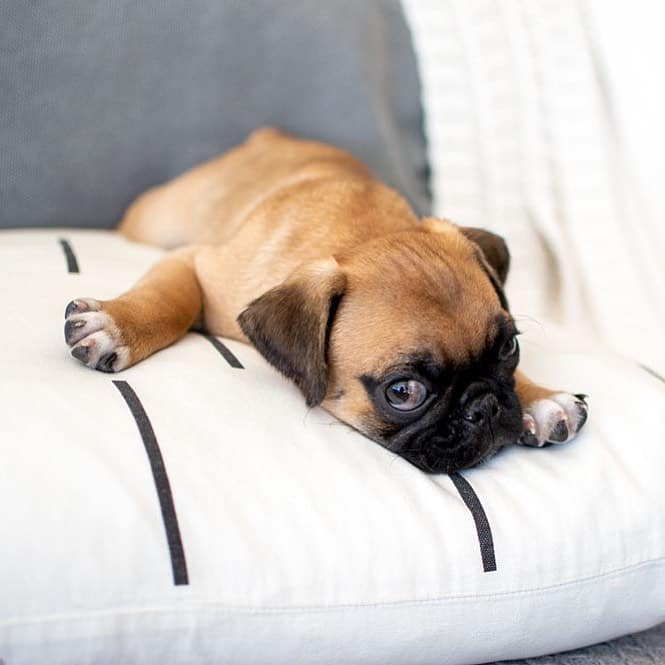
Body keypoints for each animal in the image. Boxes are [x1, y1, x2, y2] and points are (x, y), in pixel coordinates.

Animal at [63, 128, 588, 472]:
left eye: (510, 349)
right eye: (403, 392)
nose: (487, 405)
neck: (363, 235)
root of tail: (266, 138)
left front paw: (539, 396)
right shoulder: (197, 262)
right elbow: (171, 299)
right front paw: (117, 324)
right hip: (160, 219)